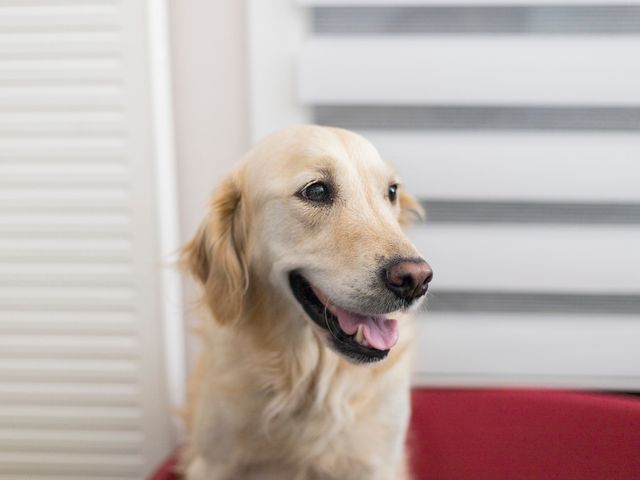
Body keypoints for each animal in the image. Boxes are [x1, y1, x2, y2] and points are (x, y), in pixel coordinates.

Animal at [180, 125, 432, 478]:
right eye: (316, 191)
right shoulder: (213, 462)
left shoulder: (378, 464)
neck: (305, 378)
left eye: (391, 191)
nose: (416, 280)